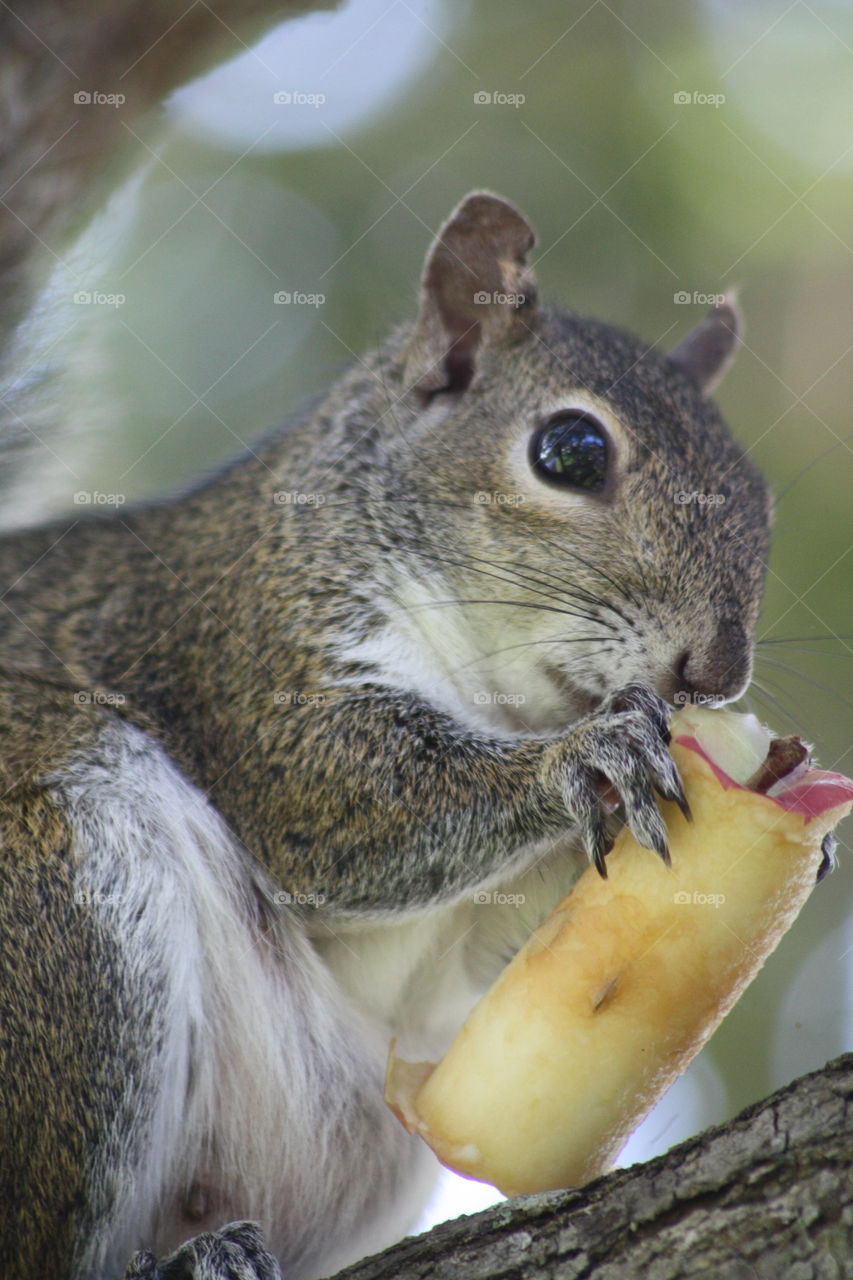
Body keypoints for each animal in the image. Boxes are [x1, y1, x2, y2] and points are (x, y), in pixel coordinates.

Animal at [0, 10, 768, 1280]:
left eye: (759, 492)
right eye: (568, 450)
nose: (716, 671)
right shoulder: (252, 637)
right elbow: (336, 794)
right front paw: (580, 760)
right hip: (48, 880)